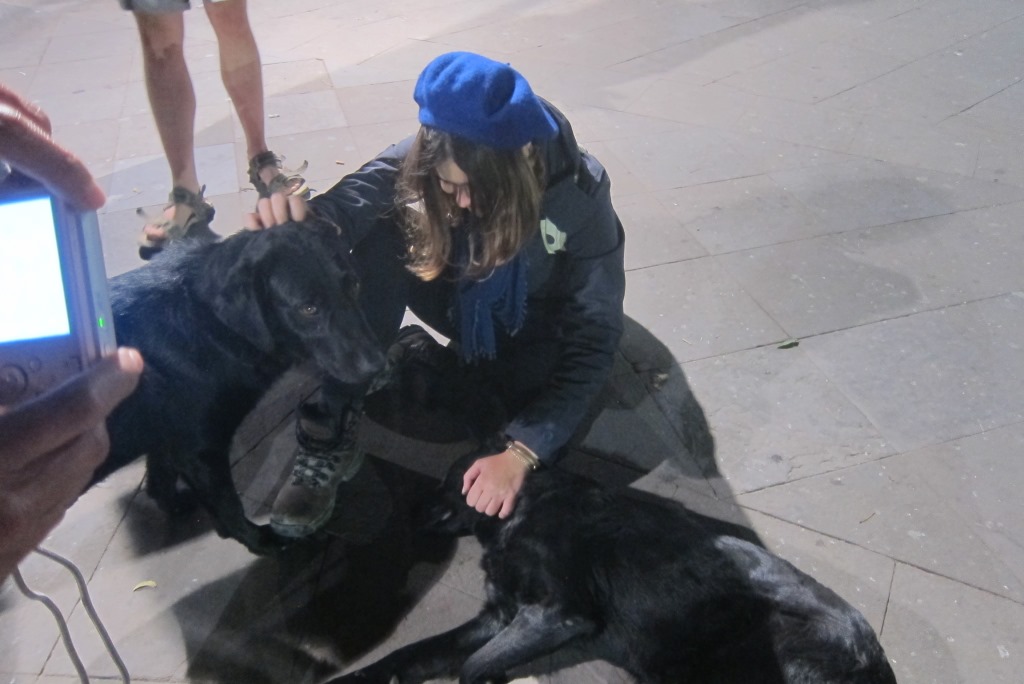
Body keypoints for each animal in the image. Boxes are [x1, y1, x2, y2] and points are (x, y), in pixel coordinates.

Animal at [89, 217, 385, 555]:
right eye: (308, 309)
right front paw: (261, 541)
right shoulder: (200, 450)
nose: (377, 366)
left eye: (355, 286)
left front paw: (175, 505)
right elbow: (228, 507)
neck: (208, 322)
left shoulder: (167, 437)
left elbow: (160, 478)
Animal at [326, 451, 898, 684]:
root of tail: (876, 657)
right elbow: (415, 652)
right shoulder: (499, 615)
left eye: (447, 483)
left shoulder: (557, 613)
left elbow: (472, 667)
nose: (408, 506)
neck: (528, 505)